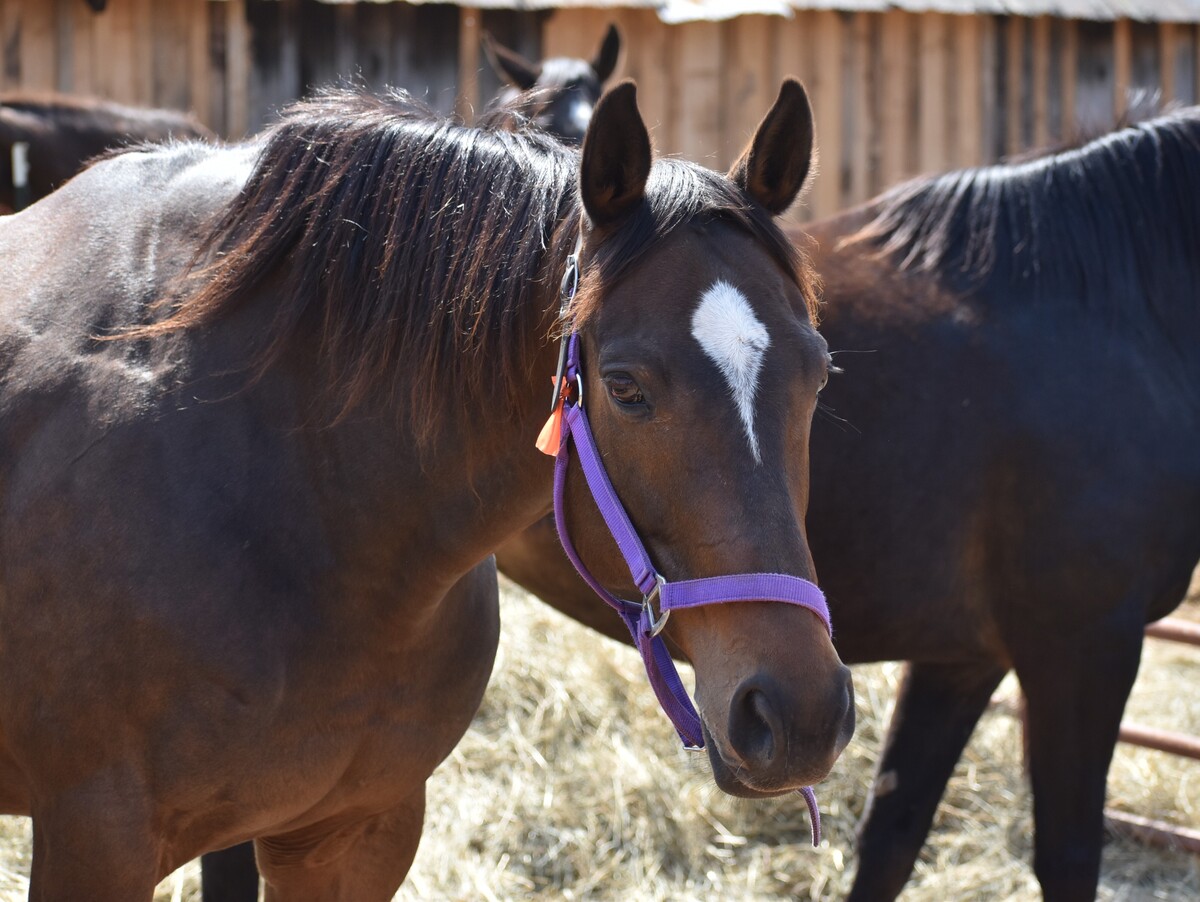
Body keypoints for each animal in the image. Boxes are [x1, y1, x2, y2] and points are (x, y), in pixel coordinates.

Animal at [495, 107, 1200, 900]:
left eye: (821, 374)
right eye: (622, 387)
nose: (800, 716)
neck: (1117, 311)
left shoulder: (963, 655)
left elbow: (891, 835)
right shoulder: (1082, 643)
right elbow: (1068, 853)